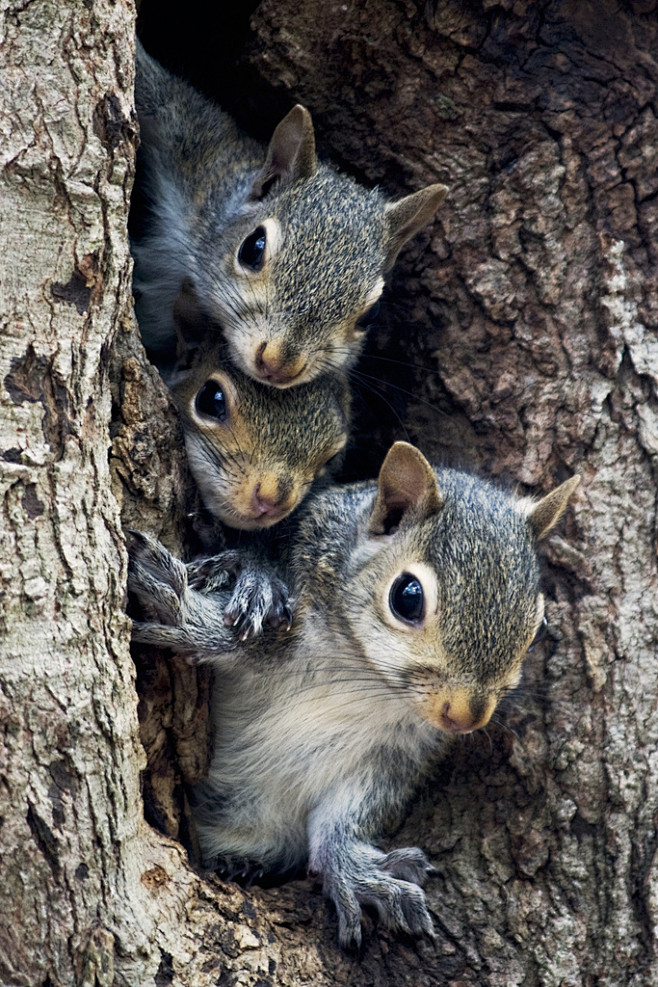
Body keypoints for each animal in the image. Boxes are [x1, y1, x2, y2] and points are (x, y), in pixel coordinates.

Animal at [128, 442, 580, 948]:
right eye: (407, 596)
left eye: (538, 627)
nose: (466, 717)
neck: (365, 676)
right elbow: (246, 632)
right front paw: (183, 607)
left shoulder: (395, 755)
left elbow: (347, 817)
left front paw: (353, 871)